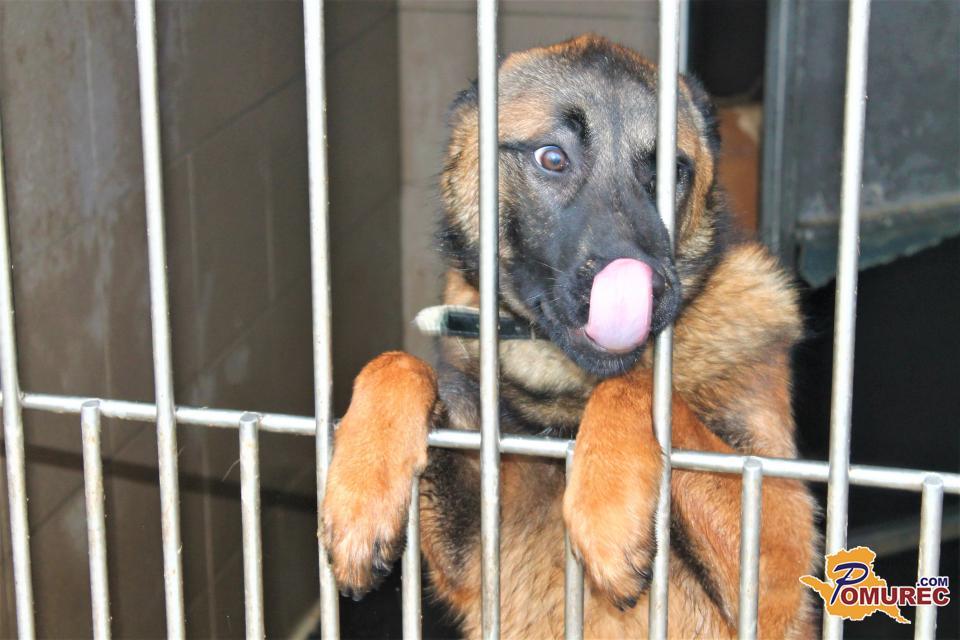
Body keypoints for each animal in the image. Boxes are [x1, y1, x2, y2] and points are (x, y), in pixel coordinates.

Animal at [321, 35, 816, 638]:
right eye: (552, 158)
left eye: (669, 172)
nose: (644, 285)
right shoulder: (472, 558)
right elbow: (396, 362)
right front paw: (359, 491)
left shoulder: (779, 542)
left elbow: (635, 383)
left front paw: (608, 505)